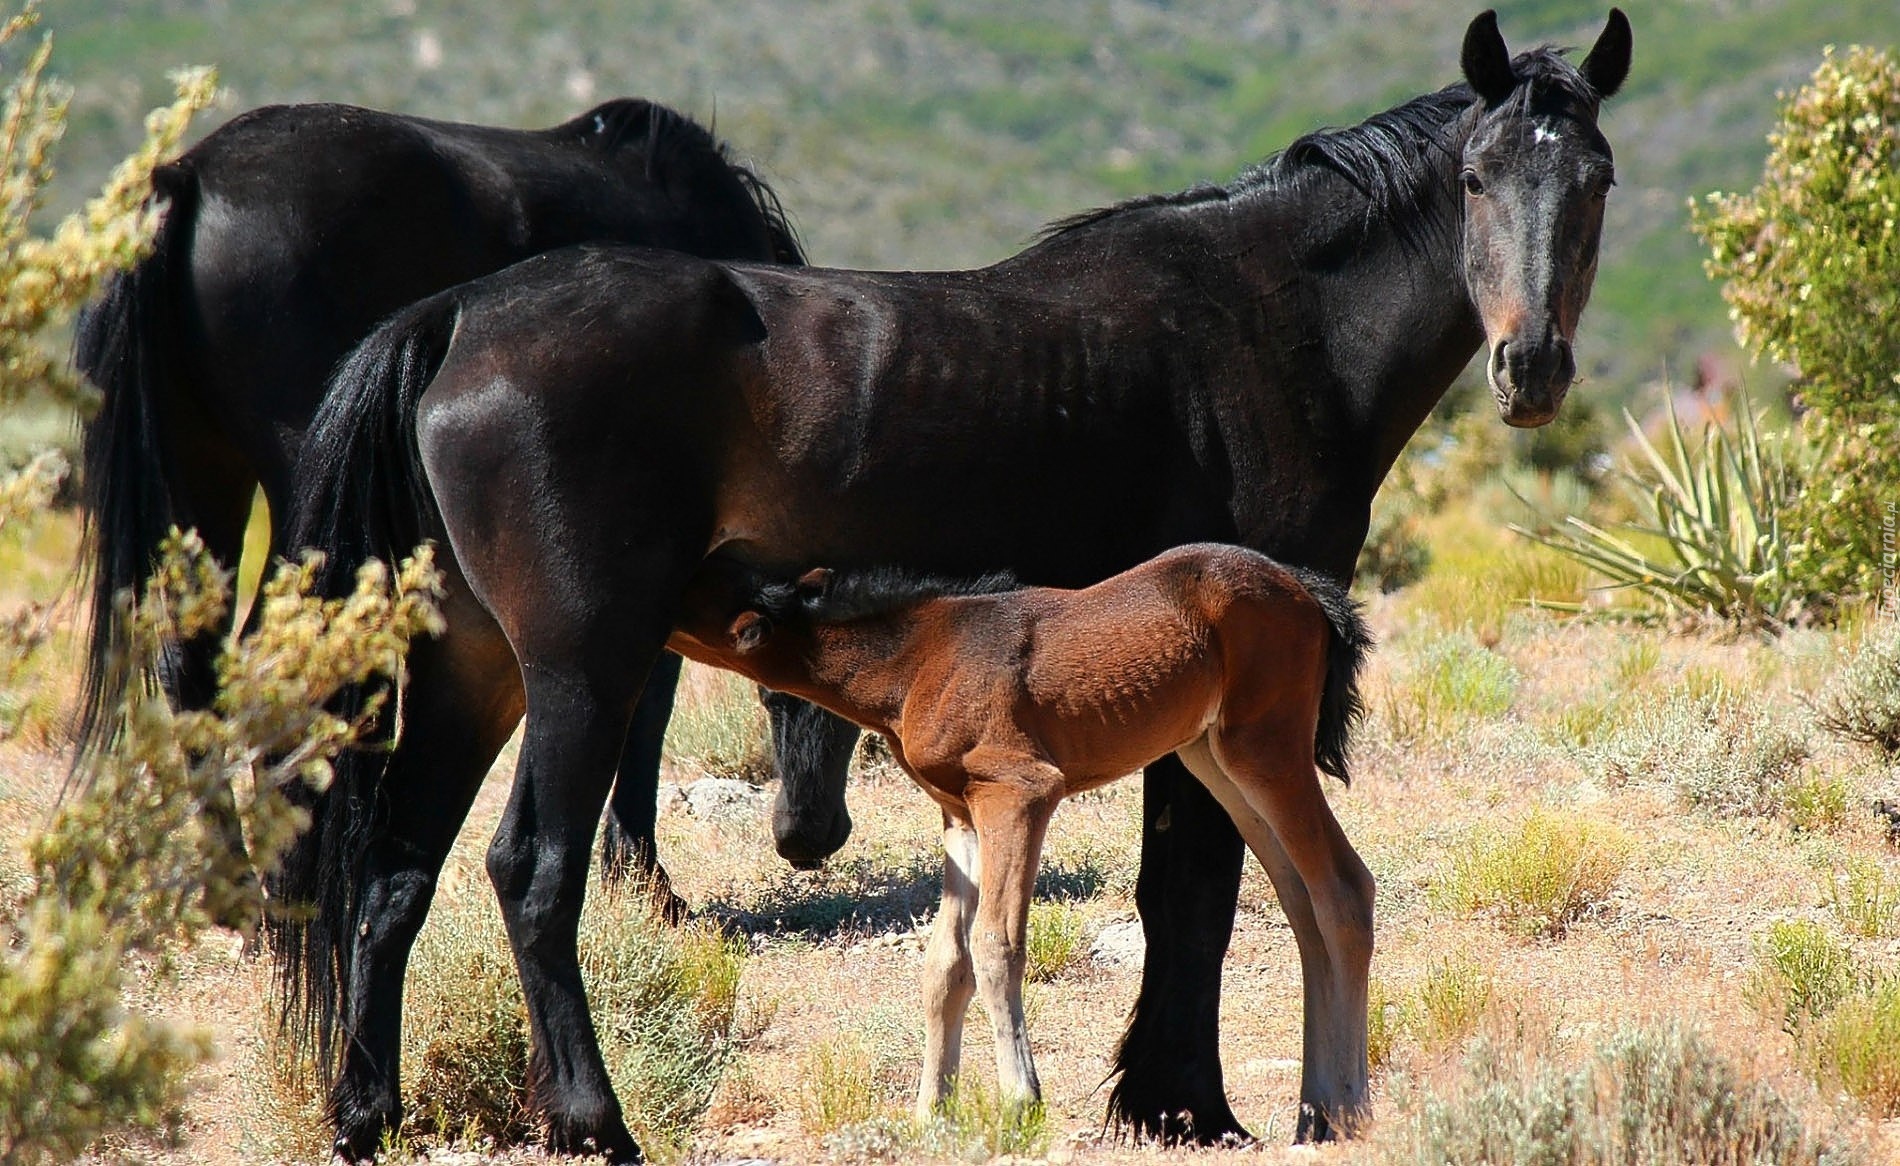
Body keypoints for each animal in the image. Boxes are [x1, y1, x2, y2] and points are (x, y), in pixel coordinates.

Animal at [66, 98, 855, 896]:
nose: (807, 836)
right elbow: (651, 695)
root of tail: (187, 177)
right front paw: (642, 875)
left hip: (204, 475)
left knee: (190, 665)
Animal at [676, 543, 1375, 1139]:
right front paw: (931, 1112)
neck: (918, 659)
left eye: (698, 593)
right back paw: (1315, 1113)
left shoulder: (1018, 793)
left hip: (1265, 748)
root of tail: (1310, 592)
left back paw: (1348, 1112)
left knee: (1344, 888)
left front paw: (1021, 1101)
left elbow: (996, 944)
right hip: (1215, 758)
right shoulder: (960, 815)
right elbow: (945, 962)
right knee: (1304, 906)